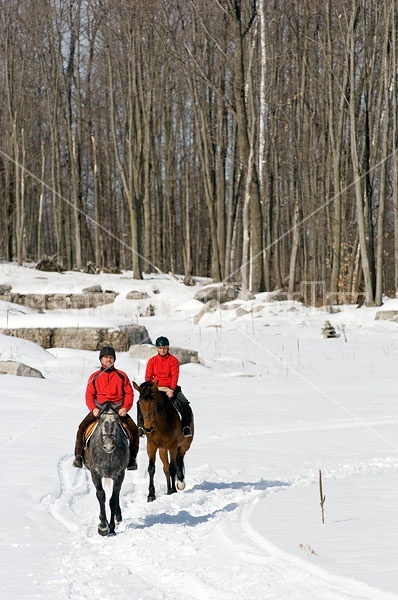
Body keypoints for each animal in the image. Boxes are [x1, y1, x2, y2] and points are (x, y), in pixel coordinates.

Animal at [82, 400, 129, 536]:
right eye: (101, 419)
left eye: (117, 419)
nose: (108, 446)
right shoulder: (95, 473)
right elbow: (101, 495)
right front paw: (103, 526)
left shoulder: (119, 474)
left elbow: (113, 500)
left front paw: (111, 528)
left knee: (117, 495)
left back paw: (118, 517)